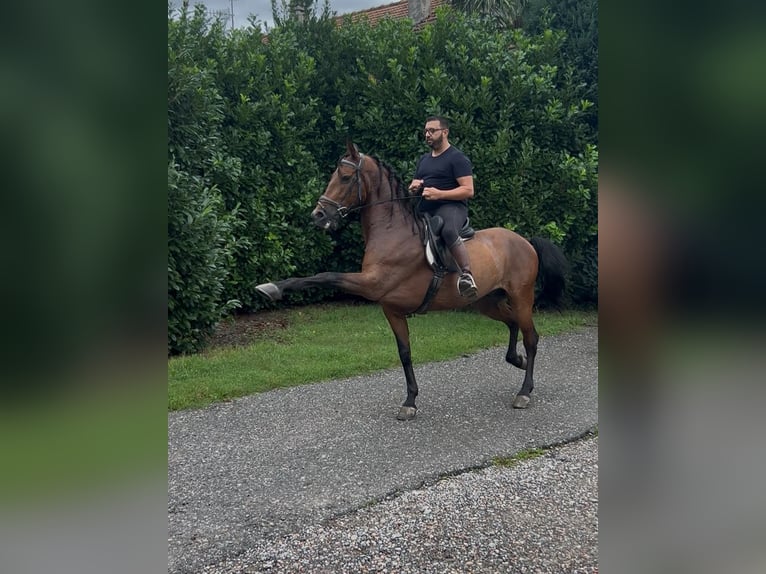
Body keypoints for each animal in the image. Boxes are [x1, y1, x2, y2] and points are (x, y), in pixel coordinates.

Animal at [256, 141, 568, 421]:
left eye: (344, 177)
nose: (318, 215)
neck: (392, 231)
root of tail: (525, 241)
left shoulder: (371, 283)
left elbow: (325, 276)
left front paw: (271, 288)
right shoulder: (391, 308)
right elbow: (404, 353)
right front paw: (410, 402)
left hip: (521, 296)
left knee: (531, 337)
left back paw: (524, 392)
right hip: (487, 302)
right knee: (513, 324)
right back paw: (516, 361)